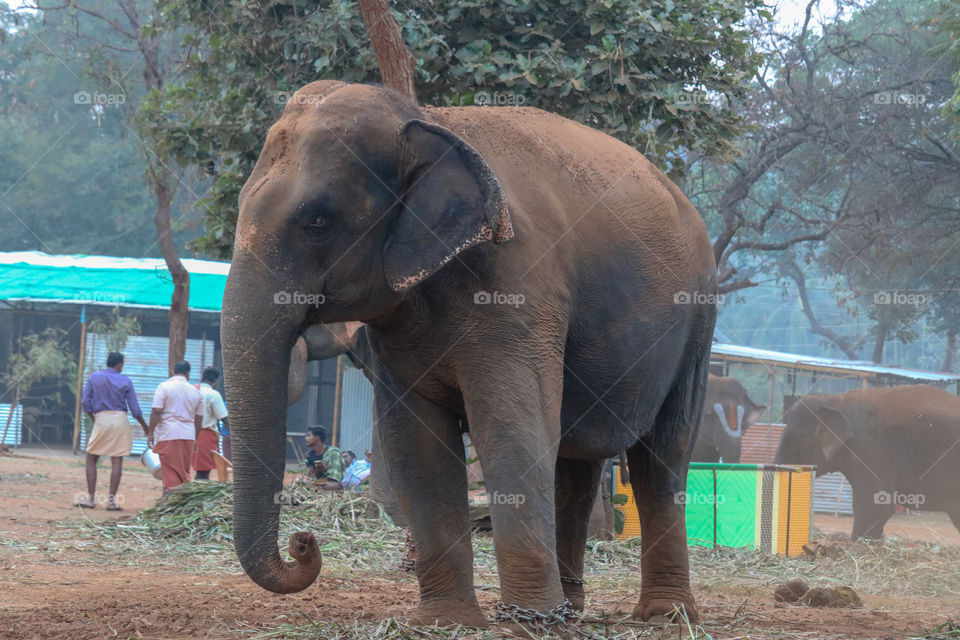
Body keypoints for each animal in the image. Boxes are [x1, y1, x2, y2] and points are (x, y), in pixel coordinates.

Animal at [221, 80, 717, 626]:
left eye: (317, 219)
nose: (303, 543)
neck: (426, 120)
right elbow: (418, 441)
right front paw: (447, 621)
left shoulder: (516, 286)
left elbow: (509, 427)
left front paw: (522, 624)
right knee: (575, 464)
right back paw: (570, 611)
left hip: (698, 319)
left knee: (662, 457)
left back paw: (664, 615)